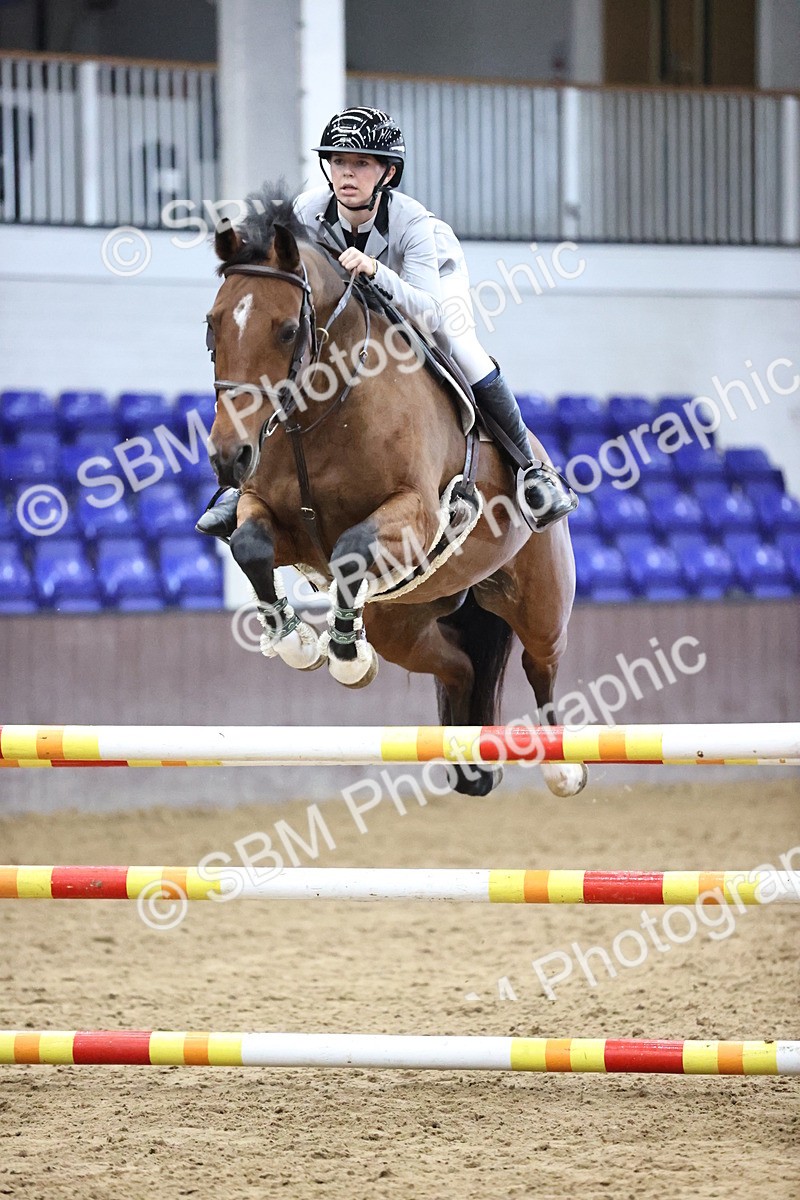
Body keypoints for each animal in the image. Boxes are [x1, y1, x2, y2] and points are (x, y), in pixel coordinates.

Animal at [205, 184, 587, 799]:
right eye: (212, 325)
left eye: (286, 329)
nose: (228, 456)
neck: (320, 414)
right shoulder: (271, 517)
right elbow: (250, 546)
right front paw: (300, 643)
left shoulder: (415, 517)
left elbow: (349, 549)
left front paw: (342, 653)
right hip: (404, 619)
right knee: (461, 666)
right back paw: (468, 757)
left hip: (541, 600)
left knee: (542, 664)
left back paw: (563, 768)